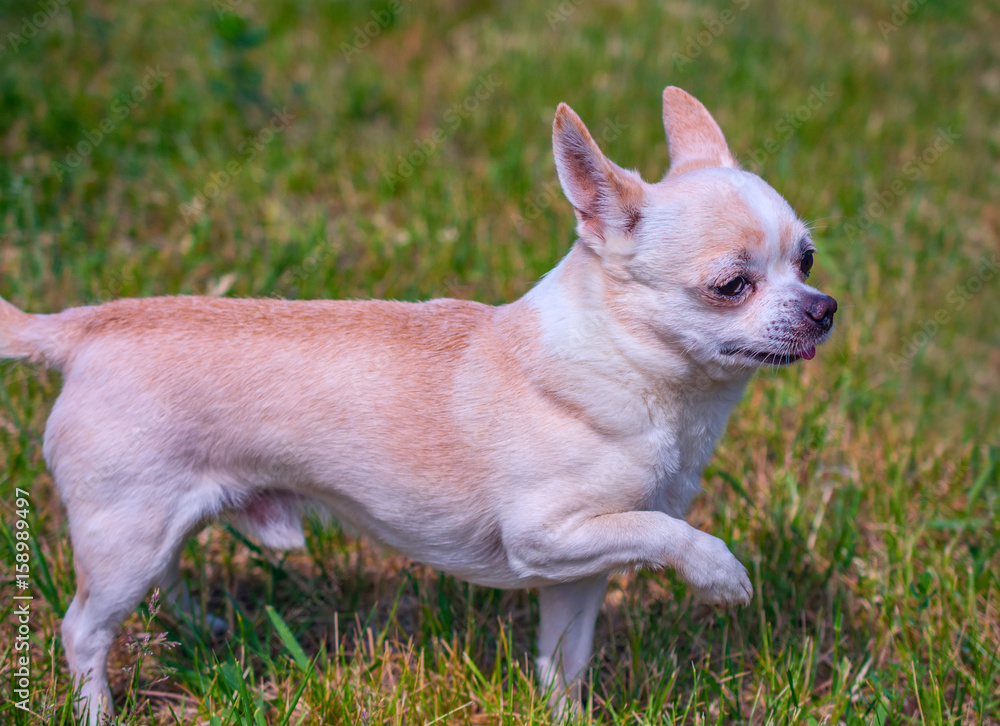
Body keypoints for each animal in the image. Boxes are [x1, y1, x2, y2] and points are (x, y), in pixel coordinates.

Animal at [1, 88, 836, 724]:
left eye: (807, 259)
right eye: (731, 285)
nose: (825, 308)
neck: (640, 377)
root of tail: (82, 326)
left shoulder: (575, 572)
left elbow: (564, 658)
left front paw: (563, 713)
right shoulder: (546, 535)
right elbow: (666, 531)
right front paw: (719, 574)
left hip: (155, 527)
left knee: (162, 581)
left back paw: (196, 629)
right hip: (124, 538)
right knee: (83, 630)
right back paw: (97, 710)